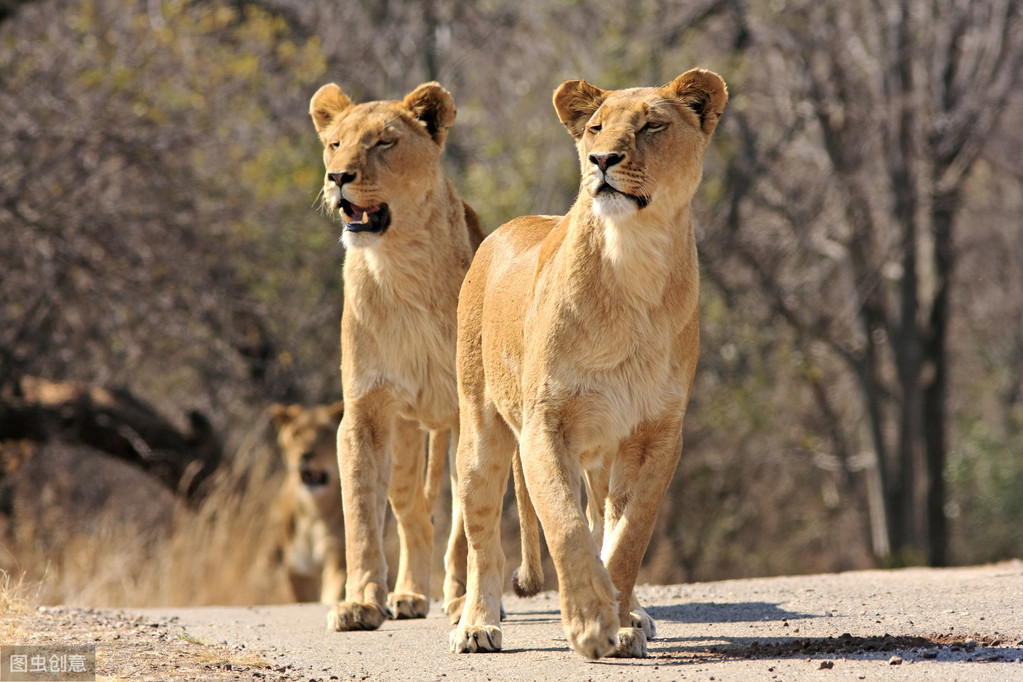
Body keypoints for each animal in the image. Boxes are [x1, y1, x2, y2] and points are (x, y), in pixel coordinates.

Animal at [450, 70, 728, 662]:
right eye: (596, 129)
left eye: (652, 126)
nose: (602, 159)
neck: (633, 257)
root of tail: (505, 227)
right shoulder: (544, 423)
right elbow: (564, 523)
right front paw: (589, 623)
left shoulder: (659, 434)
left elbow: (627, 537)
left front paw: (620, 622)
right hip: (480, 430)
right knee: (484, 541)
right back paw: (476, 625)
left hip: (604, 453)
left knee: (605, 514)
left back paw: (635, 613)